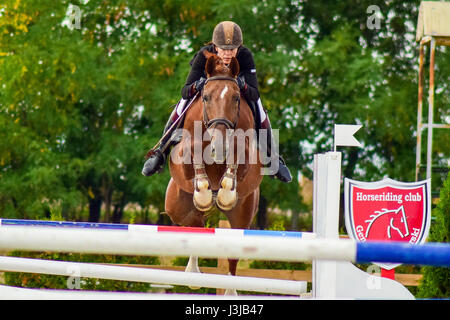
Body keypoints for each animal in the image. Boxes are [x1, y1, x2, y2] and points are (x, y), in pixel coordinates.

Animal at [164, 50, 264, 296]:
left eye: (236, 98)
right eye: (206, 97)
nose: (219, 146)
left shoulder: (246, 150)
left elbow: (238, 157)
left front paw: (225, 193)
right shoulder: (186, 149)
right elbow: (194, 154)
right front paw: (204, 193)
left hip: (242, 217)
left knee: (232, 257)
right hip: (176, 208)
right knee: (195, 226)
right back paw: (192, 272)